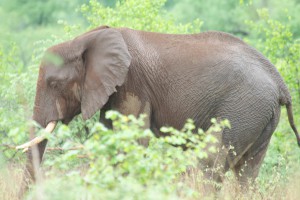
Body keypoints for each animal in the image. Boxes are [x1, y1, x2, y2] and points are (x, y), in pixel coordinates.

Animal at [18, 25, 300, 188]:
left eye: (54, 83)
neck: (86, 39)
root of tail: (280, 83)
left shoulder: (132, 83)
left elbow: (131, 143)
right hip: (260, 114)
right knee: (247, 173)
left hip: (243, 108)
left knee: (210, 163)